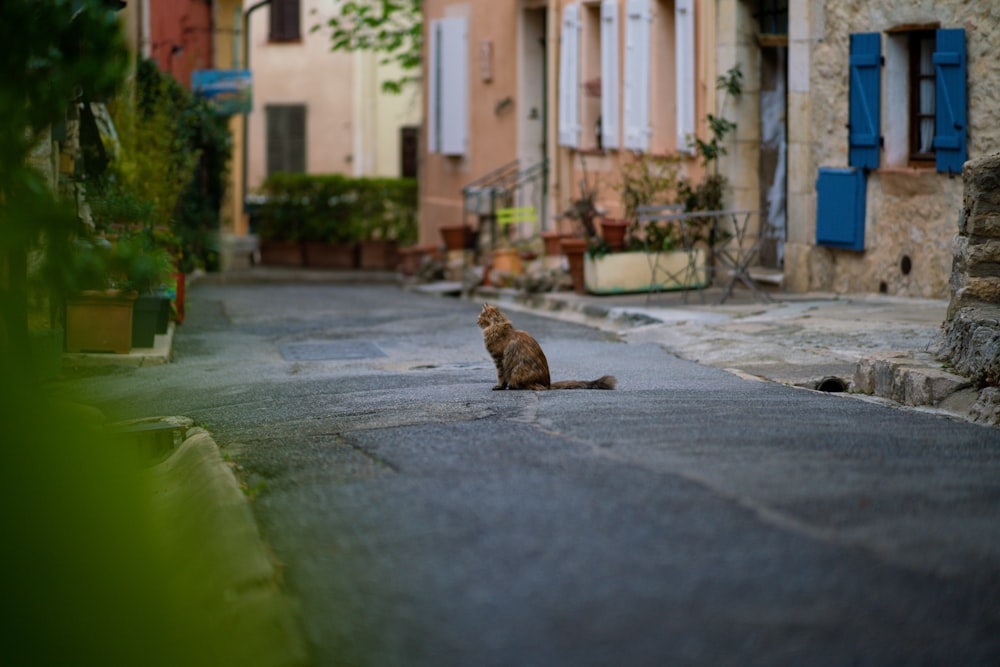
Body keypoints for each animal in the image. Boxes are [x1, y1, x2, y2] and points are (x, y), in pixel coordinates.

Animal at [478, 302, 616, 392]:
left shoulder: (499, 359)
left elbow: (501, 376)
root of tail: (548, 385)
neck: (497, 326)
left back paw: (514, 386)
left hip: (518, 372)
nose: (477, 322)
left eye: (479, 317)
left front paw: (499, 387)